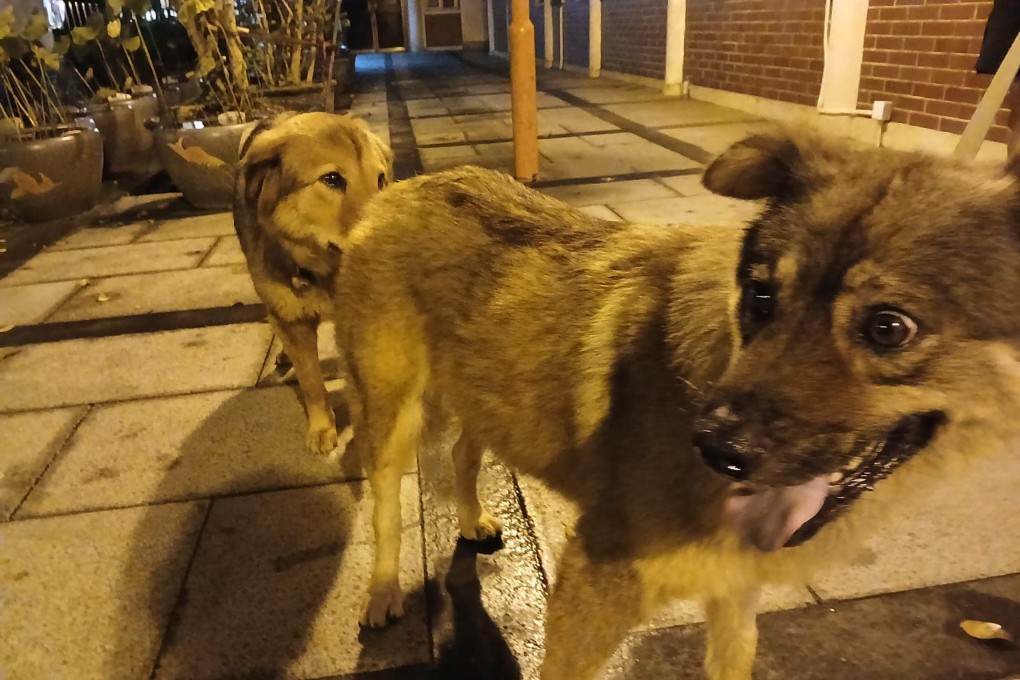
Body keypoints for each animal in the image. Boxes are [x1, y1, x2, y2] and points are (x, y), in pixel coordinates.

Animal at [334, 130, 1020, 676]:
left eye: (888, 328)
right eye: (763, 296)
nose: (714, 448)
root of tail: (398, 189)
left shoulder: (734, 597)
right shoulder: (591, 592)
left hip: (479, 387)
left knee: (462, 451)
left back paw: (472, 518)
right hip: (390, 413)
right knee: (386, 504)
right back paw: (382, 592)